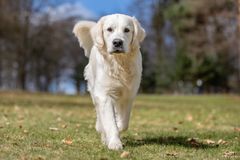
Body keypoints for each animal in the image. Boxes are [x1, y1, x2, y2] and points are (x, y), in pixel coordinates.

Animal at [72, 13, 144, 150]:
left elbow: (123, 123)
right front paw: (114, 143)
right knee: (100, 117)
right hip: (94, 91)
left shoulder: (128, 95)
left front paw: (118, 128)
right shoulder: (104, 94)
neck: (118, 63)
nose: (117, 42)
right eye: (109, 29)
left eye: (127, 30)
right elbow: (110, 122)